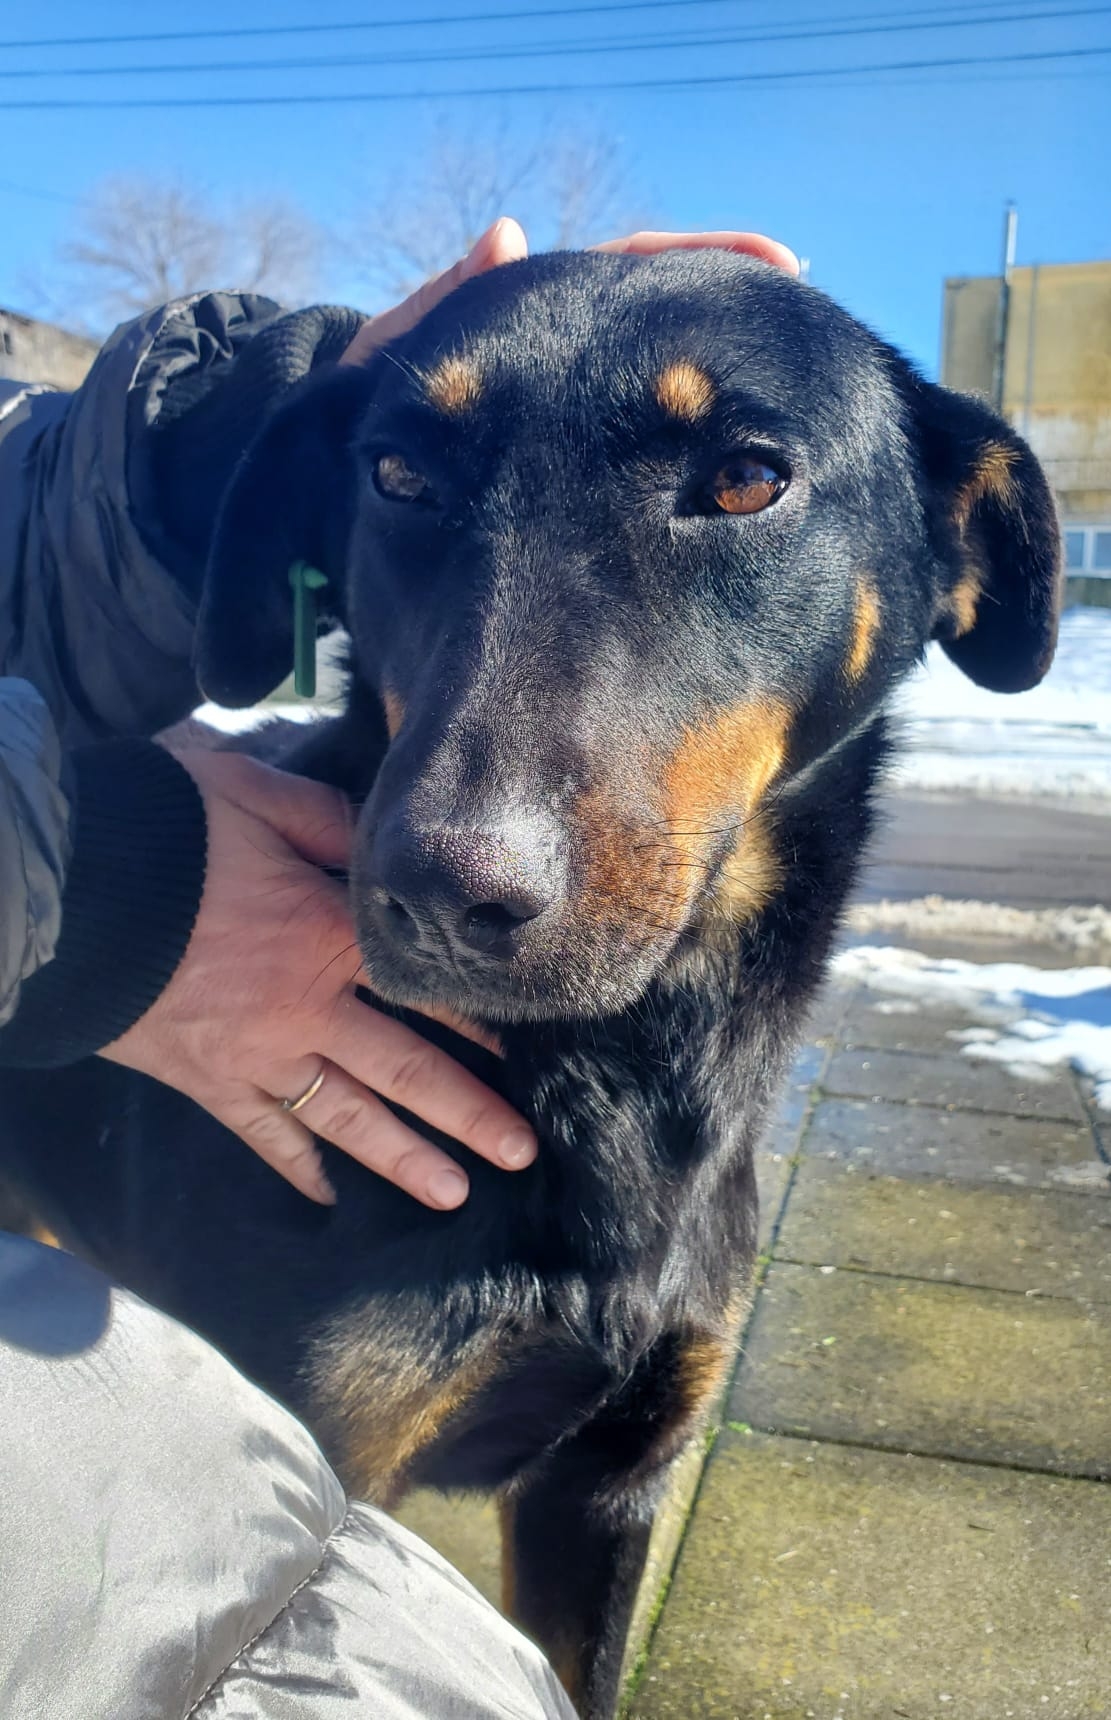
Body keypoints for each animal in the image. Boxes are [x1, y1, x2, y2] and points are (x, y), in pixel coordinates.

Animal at [0, 250, 1060, 1718]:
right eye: (396, 474)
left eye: (748, 478)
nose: (440, 893)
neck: (623, 1077)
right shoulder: (325, 1457)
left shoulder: (607, 1488)